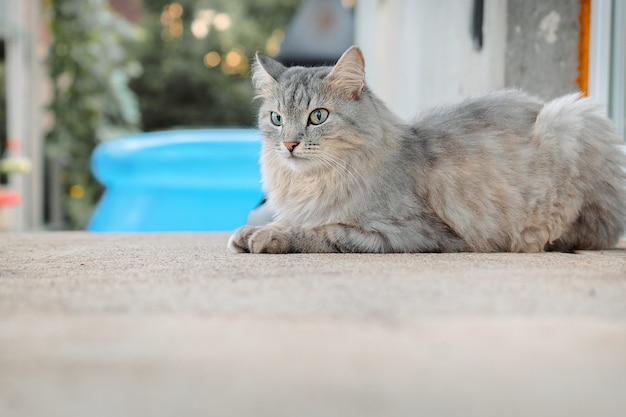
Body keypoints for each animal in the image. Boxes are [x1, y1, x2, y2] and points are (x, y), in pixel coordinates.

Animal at [228, 46, 624, 254]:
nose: (289, 144)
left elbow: (322, 231)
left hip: (570, 117)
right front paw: (250, 232)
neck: (310, 184)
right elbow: (291, 220)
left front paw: (271, 236)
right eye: (277, 118)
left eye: (318, 116)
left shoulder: (408, 233)